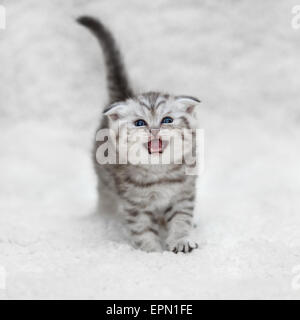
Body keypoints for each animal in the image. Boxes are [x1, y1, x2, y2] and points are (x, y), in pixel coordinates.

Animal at [77, 16, 200, 252]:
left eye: (167, 120)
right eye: (140, 123)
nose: (154, 130)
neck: (159, 173)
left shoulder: (183, 194)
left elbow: (181, 218)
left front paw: (180, 239)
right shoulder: (134, 204)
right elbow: (142, 230)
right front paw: (152, 251)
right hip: (104, 180)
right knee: (105, 197)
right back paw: (104, 218)